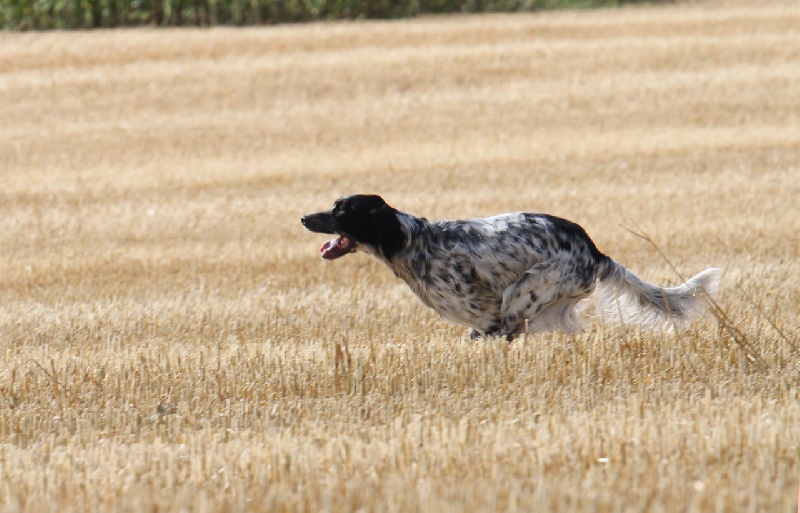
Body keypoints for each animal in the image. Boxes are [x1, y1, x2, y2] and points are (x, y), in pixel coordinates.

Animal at [298, 194, 720, 338]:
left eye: (341, 210)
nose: (303, 217)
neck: (412, 241)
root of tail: (594, 250)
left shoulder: (486, 312)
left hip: (526, 290)